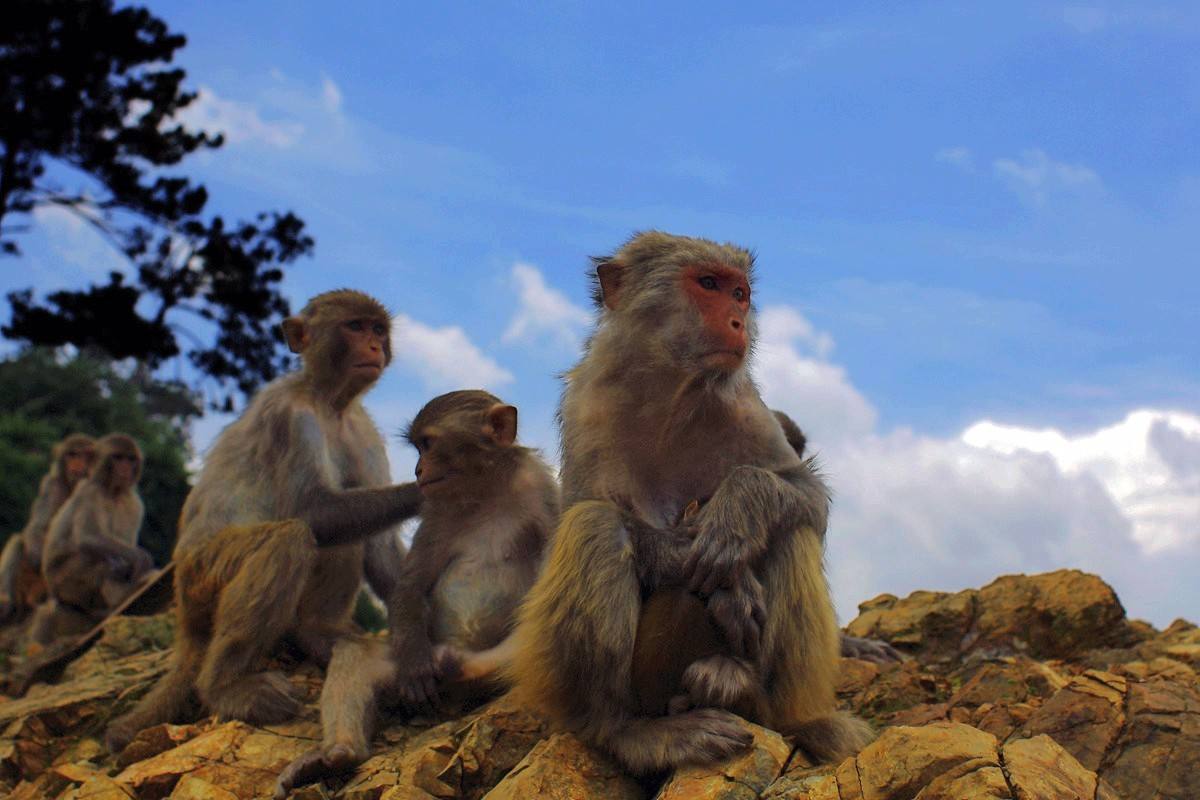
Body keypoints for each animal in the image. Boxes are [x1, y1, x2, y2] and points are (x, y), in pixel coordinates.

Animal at [0, 431, 94, 623]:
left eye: (86, 455)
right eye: (73, 454)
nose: (78, 465)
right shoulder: (51, 484)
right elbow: (38, 527)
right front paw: (37, 557)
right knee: (19, 541)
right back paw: (6, 605)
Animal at [30, 434, 151, 647]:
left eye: (130, 459)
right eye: (118, 458)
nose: (125, 469)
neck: (112, 490)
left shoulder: (133, 502)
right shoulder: (91, 491)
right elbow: (88, 537)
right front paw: (140, 558)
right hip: (65, 585)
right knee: (94, 557)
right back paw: (120, 596)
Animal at [104, 291, 422, 753]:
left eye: (378, 329)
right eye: (355, 327)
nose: (374, 346)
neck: (328, 401)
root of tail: (186, 621)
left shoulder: (362, 431)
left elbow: (378, 545)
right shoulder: (290, 417)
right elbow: (314, 512)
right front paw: (437, 484)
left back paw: (317, 633)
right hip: (202, 580)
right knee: (289, 539)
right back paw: (225, 686)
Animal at [274, 388, 559, 796]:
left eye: (428, 444)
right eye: (418, 447)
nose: (418, 471)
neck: (485, 488)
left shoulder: (539, 488)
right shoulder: (435, 506)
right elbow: (411, 584)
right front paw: (414, 664)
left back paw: (472, 665)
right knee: (357, 655)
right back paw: (338, 753)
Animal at [506, 231, 873, 777]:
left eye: (739, 293)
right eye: (708, 285)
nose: (738, 321)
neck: (672, 391)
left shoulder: (743, 406)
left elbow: (805, 493)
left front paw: (740, 508)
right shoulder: (587, 405)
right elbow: (581, 513)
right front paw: (703, 568)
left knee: (791, 529)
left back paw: (755, 695)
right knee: (596, 526)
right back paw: (627, 731)